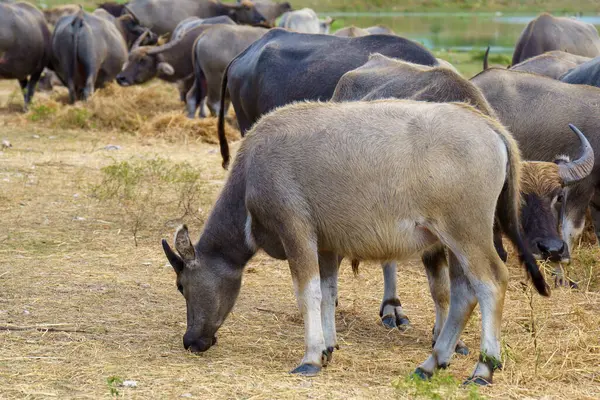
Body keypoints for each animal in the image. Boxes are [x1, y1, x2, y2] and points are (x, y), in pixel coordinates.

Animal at [163, 98, 548, 382]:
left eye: (182, 286)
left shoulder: (296, 233)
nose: (191, 341)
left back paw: (483, 368)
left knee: (491, 283)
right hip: (454, 243)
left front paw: (311, 357)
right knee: (463, 294)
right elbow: (328, 292)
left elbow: (308, 293)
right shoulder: (327, 247)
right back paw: (432, 362)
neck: (251, 173)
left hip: (466, 234)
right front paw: (327, 348)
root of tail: (487, 125)